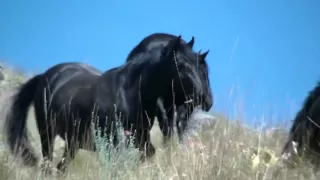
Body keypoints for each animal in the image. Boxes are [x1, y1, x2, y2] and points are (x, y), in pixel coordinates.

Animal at [5, 35, 205, 173]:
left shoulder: (141, 139)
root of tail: (45, 76)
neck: (129, 94)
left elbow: (147, 154)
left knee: (61, 167)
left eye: (198, 63)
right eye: (180, 63)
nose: (201, 95)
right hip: (47, 134)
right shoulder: (113, 144)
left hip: (72, 143)